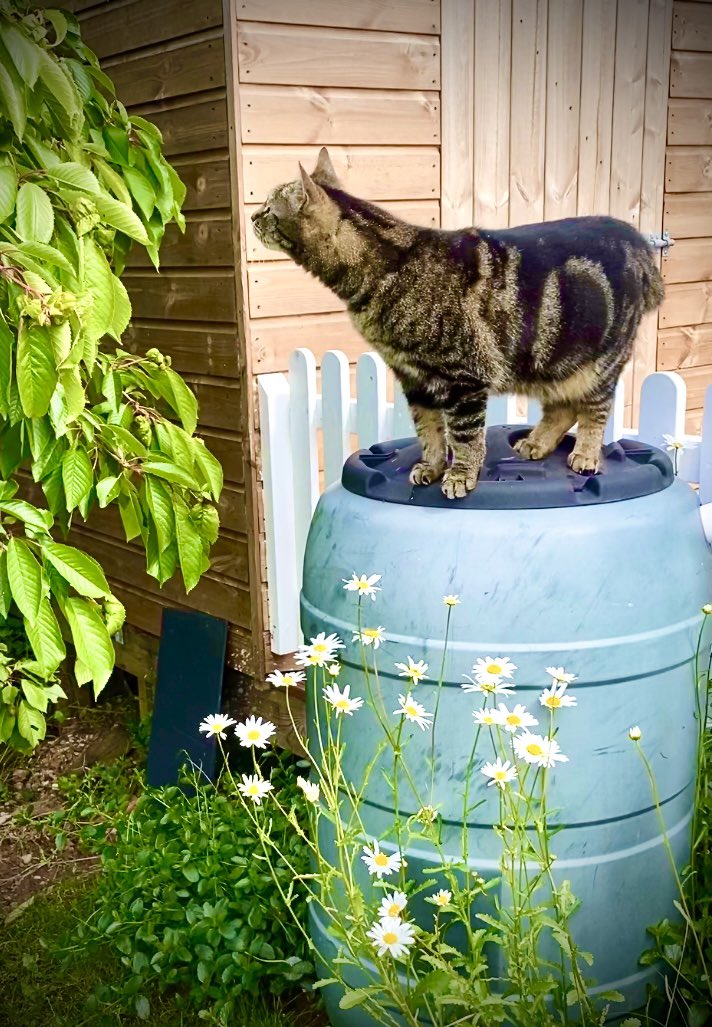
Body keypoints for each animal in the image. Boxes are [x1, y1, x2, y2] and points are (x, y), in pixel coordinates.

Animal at [249, 147, 661, 497]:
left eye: (269, 208)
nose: (253, 216)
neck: (384, 268)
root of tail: (638, 241)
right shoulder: (413, 378)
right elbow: (428, 431)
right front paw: (431, 467)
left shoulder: (464, 377)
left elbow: (464, 436)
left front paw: (461, 474)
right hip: (552, 361)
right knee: (563, 407)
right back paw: (536, 443)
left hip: (599, 362)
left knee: (594, 407)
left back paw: (587, 455)